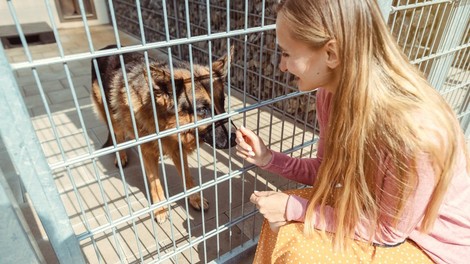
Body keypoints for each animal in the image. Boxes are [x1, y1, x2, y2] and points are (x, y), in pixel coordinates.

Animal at [90, 44, 237, 223]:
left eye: (222, 102)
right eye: (203, 110)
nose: (235, 137)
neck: (163, 123)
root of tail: (105, 48)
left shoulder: (178, 149)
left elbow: (188, 176)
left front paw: (195, 198)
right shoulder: (148, 154)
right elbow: (155, 183)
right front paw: (160, 209)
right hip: (112, 116)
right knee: (117, 135)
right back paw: (121, 156)